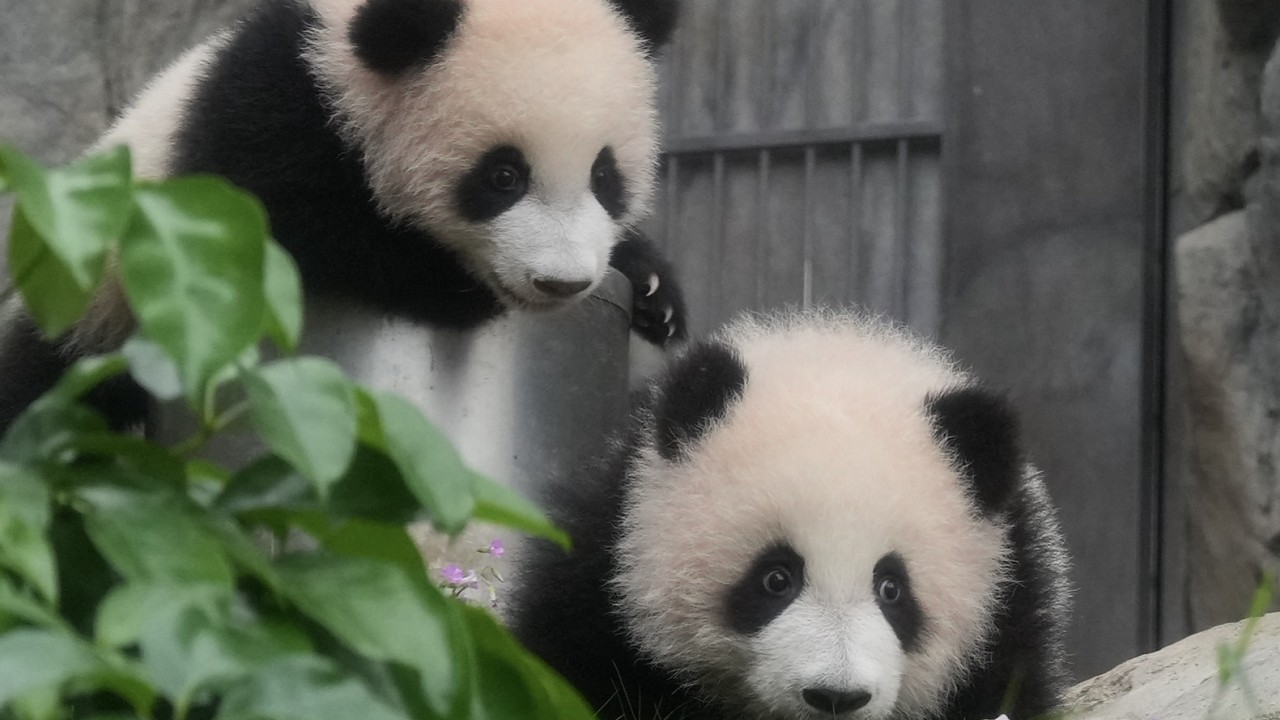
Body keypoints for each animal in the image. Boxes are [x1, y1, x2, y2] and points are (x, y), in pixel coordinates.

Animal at [0, 0, 686, 431]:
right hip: (89, 314)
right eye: (502, 176)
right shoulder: (266, 106)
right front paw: (447, 286)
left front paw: (653, 287)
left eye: (605, 176)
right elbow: (279, 217)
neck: (351, 79)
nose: (561, 282)